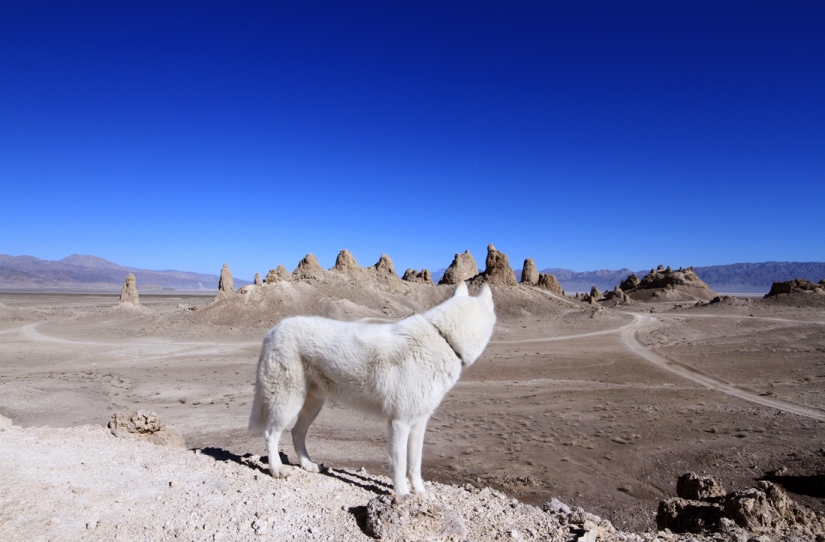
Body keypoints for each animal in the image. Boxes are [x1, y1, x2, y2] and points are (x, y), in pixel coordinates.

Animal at [249, 284, 496, 498]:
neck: (444, 339)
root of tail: (273, 330)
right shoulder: (399, 422)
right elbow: (400, 465)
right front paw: (403, 496)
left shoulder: (419, 422)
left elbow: (415, 465)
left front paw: (420, 493)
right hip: (287, 404)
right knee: (271, 434)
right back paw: (276, 470)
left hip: (312, 405)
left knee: (296, 433)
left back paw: (308, 465)